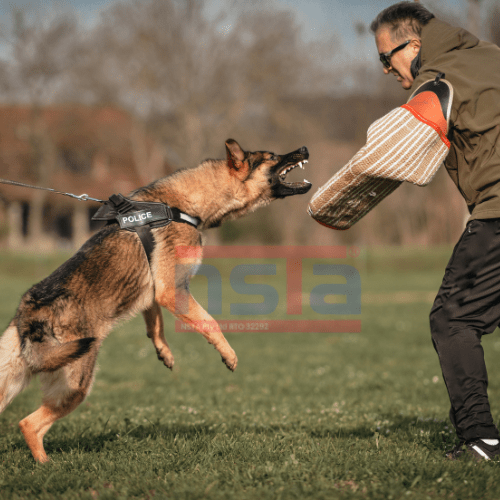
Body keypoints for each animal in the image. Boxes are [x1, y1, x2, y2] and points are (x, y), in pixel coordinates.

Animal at [0, 138, 310, 460]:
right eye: (272, 157)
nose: (304, 149)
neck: (182, 205)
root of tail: (28, 318)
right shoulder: (173, 289)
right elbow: (210, 322)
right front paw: (228, 354)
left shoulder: (153, 292)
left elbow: (155, 325)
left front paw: (164, 352)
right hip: (75, 385)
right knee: (28, 424)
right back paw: (46, 464)